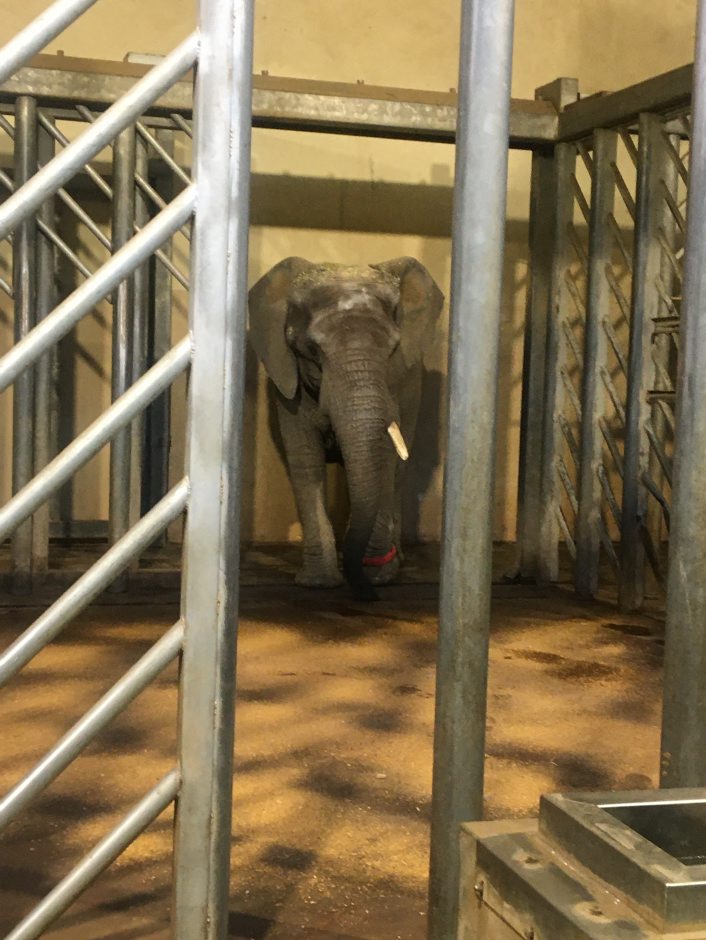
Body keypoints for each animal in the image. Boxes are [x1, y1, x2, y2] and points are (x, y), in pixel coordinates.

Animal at [248, 257, 444, 600]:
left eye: (393, 349)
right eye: (313, 349)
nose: (368, 593)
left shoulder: (395, 384)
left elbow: (386, 460)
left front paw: (378, 576)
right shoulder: (287, 386)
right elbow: (305, 461)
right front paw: (317, 582)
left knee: (398, 473)